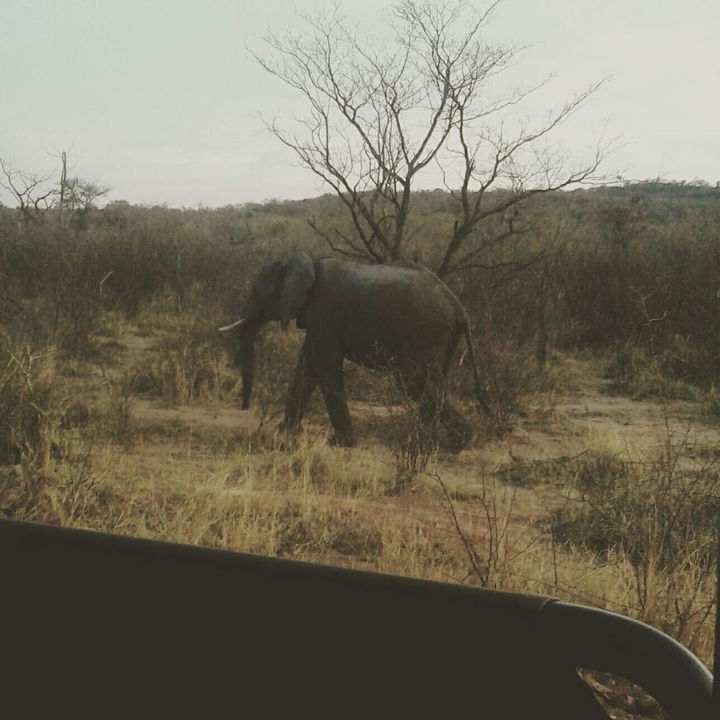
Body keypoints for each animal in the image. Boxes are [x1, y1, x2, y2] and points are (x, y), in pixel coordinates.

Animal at [220, 252, 490, 451]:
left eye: (257, 292)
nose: (244, 408)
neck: (306, 262)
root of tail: (459, 309)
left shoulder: (323, 312)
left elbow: (325, 366)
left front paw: (340, 443)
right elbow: (307, 367)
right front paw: (283, 432)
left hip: (424, 332)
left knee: (414, 383)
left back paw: (456, 444)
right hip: (442, 337)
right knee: (431, 381)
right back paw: (428, 441)